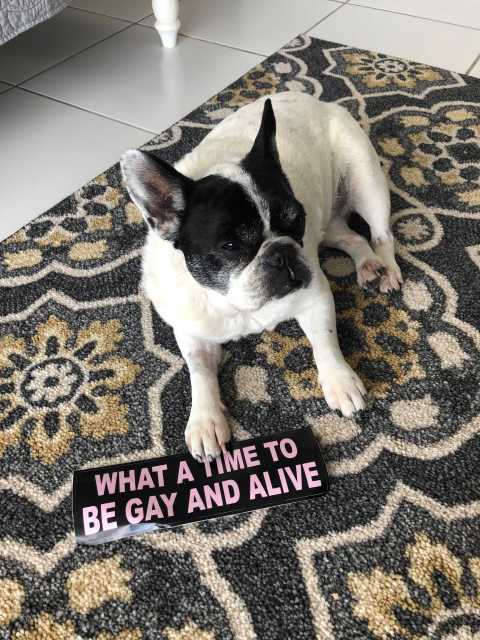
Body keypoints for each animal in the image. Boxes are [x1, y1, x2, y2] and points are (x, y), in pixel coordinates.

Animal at [120, 91, 402, 460]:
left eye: (297, 220)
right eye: (229, 246)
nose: (282, 252)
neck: (236, 305)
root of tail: (315, 100)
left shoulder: (314, 296)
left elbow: (324, 340)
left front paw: (339, 380)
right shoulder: (191, 330)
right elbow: (199, 371)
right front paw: (205, 419)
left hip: (365, 177)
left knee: (381, 234)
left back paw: (386, 269)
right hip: (328, 225)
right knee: (353, 237)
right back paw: (368, 265)